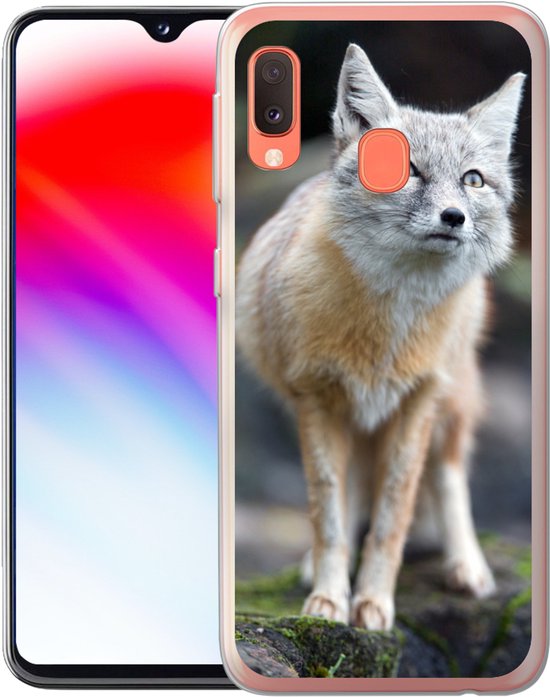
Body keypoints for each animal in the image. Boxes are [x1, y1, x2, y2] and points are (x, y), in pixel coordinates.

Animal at [236, 44, 525, 631]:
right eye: (407, 170)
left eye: (473, 180)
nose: (454, 217)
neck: (386, 332)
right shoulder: (316, 400)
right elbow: (327, 512)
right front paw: (329, 598)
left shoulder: (416, 404)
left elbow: (394, 516)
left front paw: (374, 602)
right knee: (350, 493)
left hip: (450, 403)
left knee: (449, 476)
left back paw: (467, 565)